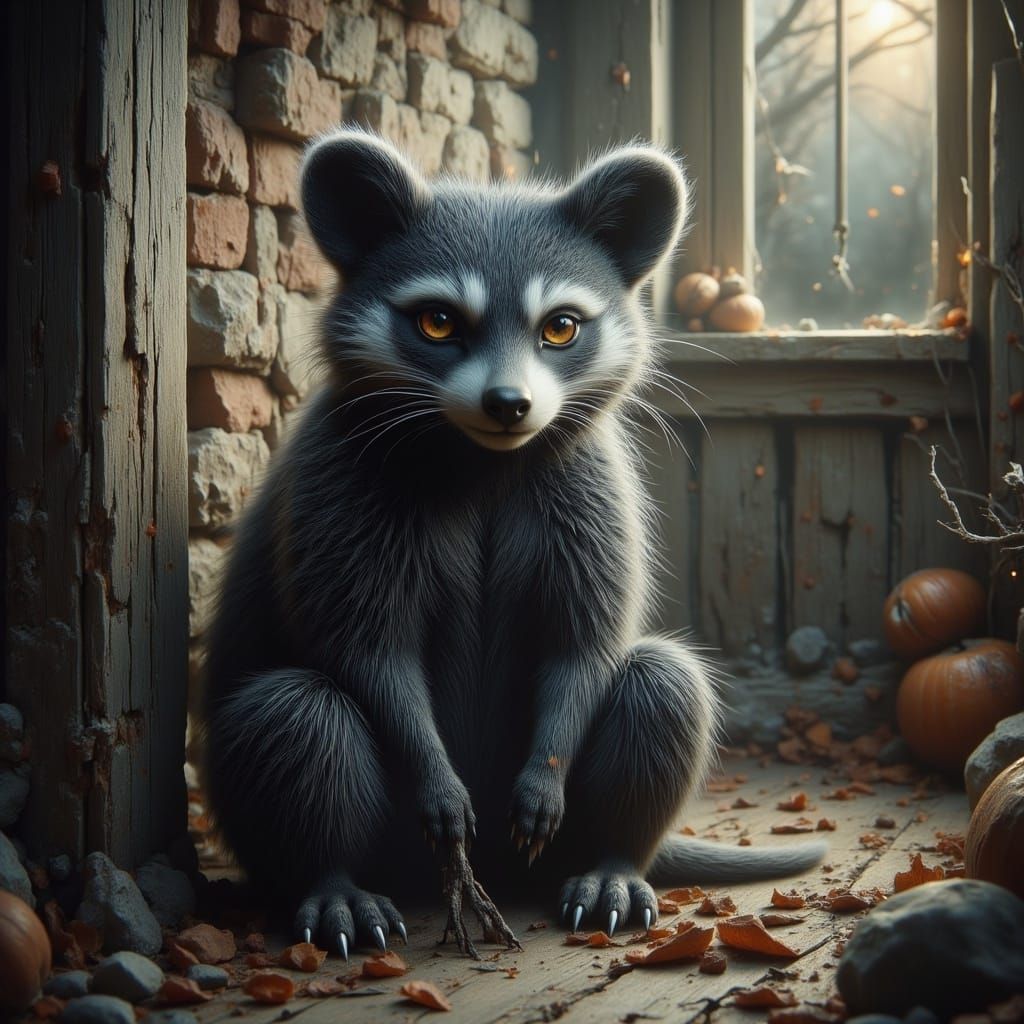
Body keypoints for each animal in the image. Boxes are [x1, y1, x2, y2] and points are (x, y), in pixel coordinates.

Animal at [201, 130, 825, 957]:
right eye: (438, 322)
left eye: (560, 326)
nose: (509, 404)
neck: (484, 458)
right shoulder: (338, 488)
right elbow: (369, 653)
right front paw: (431, 767)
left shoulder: (592, 492)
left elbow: (581, 646)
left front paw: (549, 765)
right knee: (294, 712)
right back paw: (331, 880)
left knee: (662, 683)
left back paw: (612, 859)